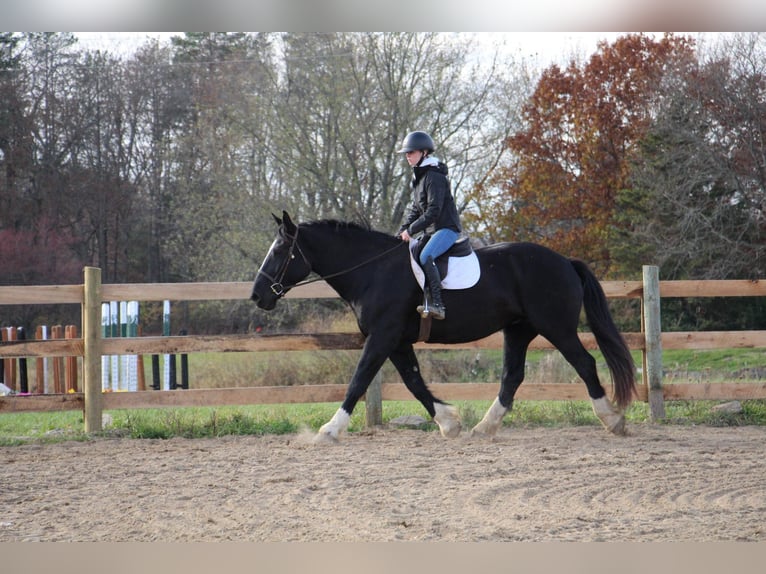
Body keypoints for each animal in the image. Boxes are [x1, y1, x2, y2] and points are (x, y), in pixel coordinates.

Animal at [252, 214, 636, 444]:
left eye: (281, 250)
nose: (257, 295)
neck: (373, 271)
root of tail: (564, 261)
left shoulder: (382, 337)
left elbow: (359, 380)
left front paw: (330, 429)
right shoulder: (396, 341)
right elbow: (414, 382)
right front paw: (449, 422)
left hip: (555, 327)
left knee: (584, 364)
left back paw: (612, 421)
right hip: (518, 330)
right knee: (512, 376)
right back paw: (485, 427)